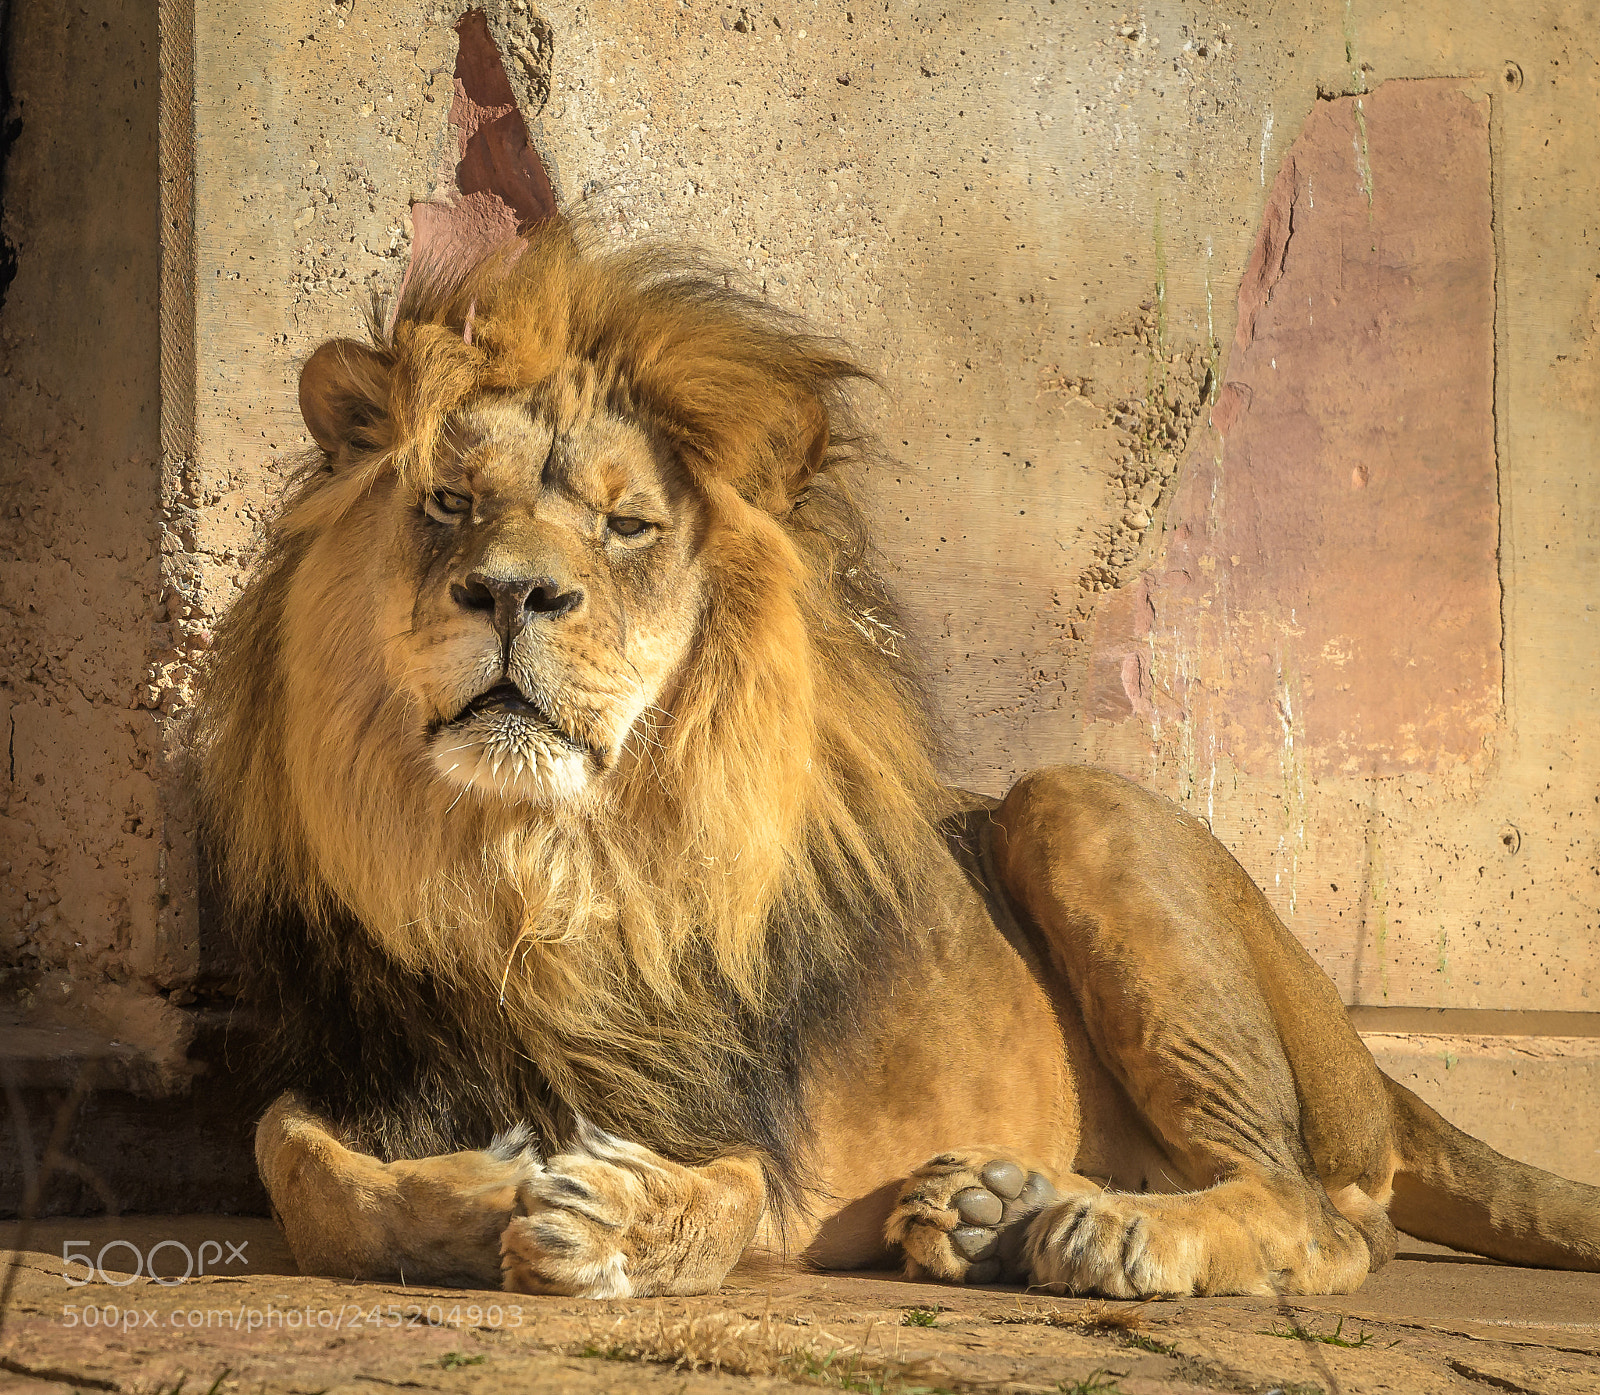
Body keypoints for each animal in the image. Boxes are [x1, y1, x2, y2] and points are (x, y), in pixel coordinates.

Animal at [196, 220, 1600, 1299]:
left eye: (627, 525)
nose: (509, 592)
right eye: (448, 503)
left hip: (1075, 806)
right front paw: (491, 1183)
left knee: (1315, 1213)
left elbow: (704, 1198)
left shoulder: (737, 1134)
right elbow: (301, 1168)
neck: (523, 870)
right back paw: (988, 1215)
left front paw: (595, 1214)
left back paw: (1104, 1233)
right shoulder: (349, 1056)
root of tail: (1368, 1062)